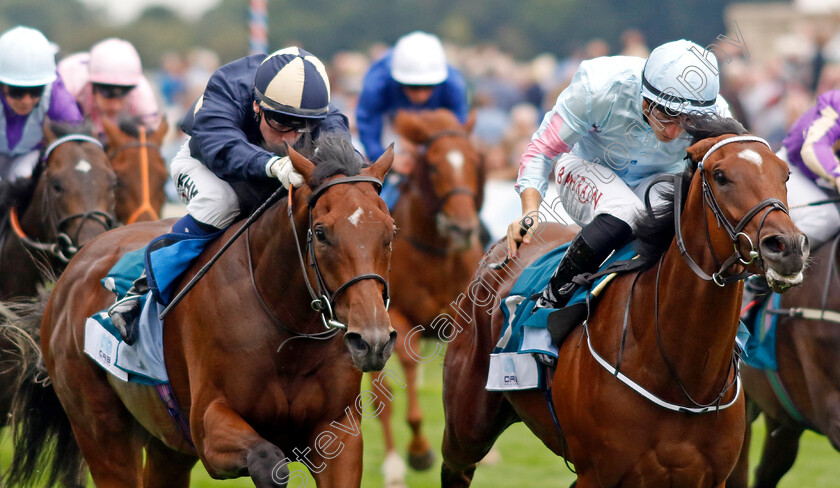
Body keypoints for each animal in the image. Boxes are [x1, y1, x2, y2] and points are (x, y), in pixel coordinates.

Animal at [4, 134, 398, 488]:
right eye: (321, 232)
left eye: (391, 232)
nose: (373, 340)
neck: (288, 332)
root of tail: (69, 274)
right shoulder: (209, 427)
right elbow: (270, 464)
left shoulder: (339, 432)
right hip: (99, 428)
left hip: (167, 443)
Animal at [370, 107, 482, 480]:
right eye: (433, 167)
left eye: (475, 161)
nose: (462, 228)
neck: (436, 255)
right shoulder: (396, 319)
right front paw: (419, 451)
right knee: (381, 396)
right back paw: (393, 463)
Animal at [440, 118, 808, 488]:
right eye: (720, 176)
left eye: (786, 174)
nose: (788, 247)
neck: (681, 378)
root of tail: (498, 249)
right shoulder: (597, 474)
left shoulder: (708, 478)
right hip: (468, 426)